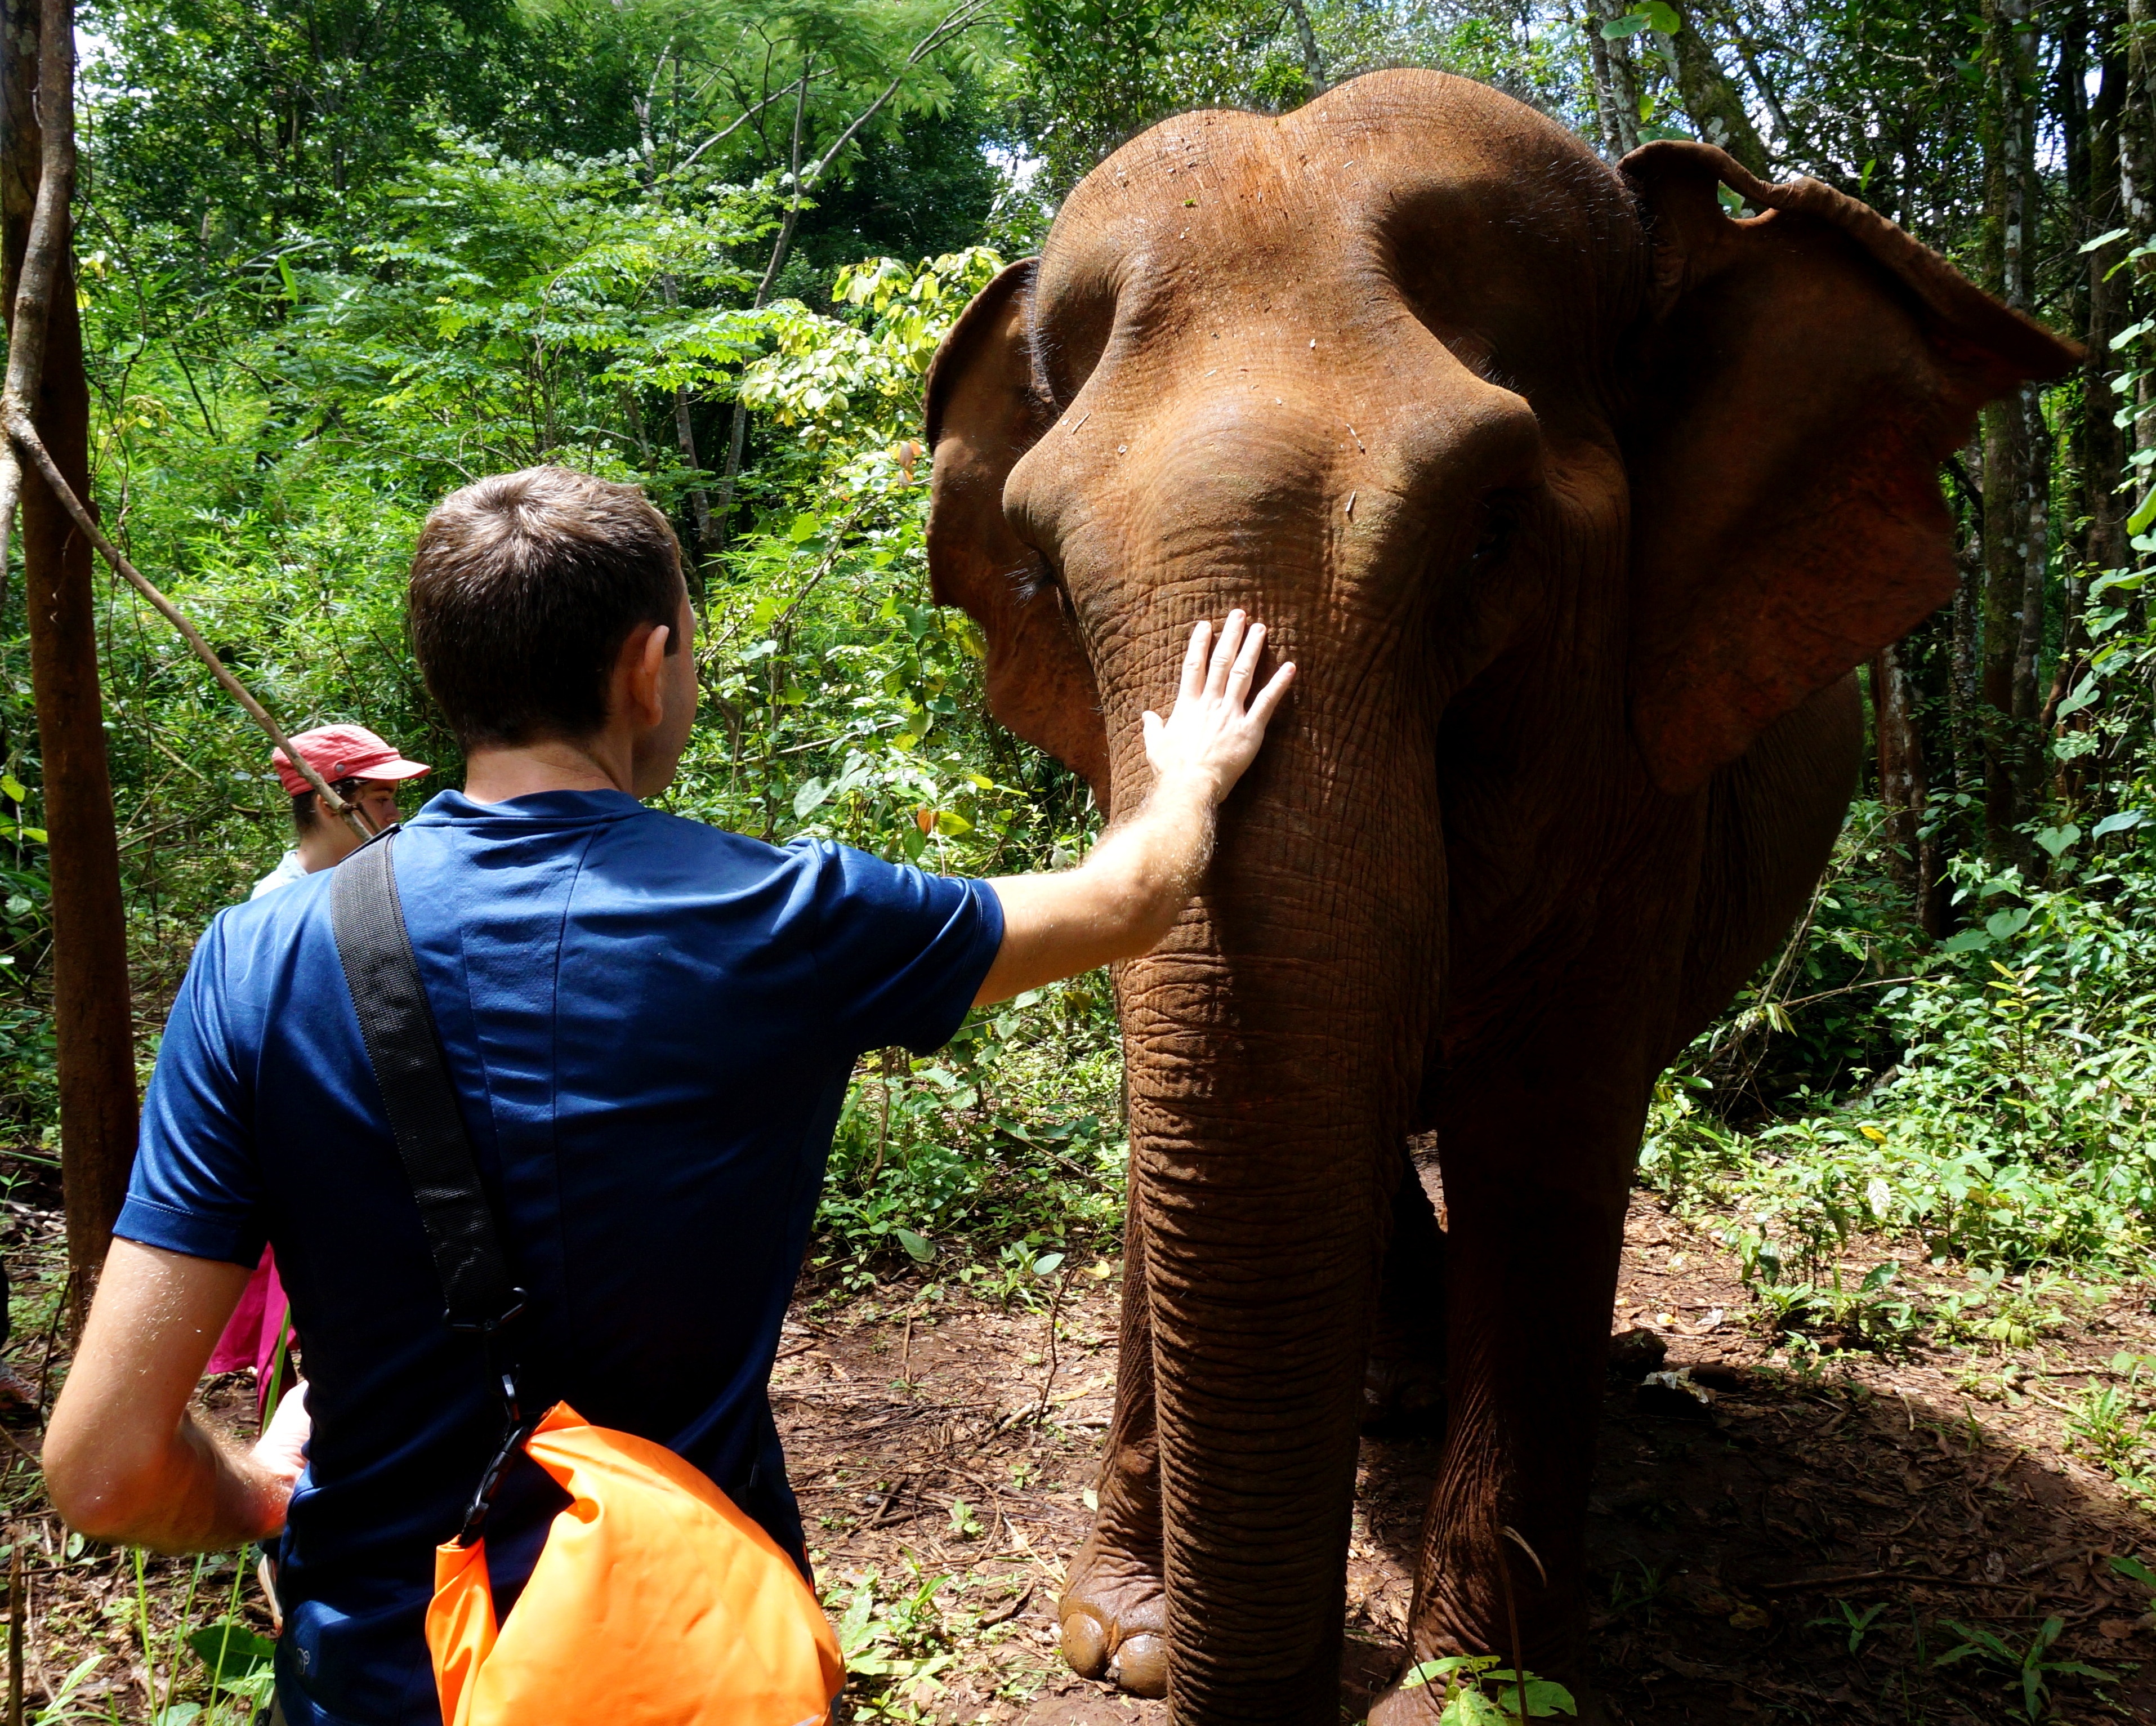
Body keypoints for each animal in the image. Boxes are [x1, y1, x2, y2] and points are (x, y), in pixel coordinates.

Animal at [921, 69, 2075, 1725]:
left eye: (1489, 531)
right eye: (1047, 580)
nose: (1314, 1683)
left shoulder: (1633, 783)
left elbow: (1542, 1140)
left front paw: (1470, 1697)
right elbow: (1175, 1107)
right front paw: (1119, 1640)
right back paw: (1391, 1389)